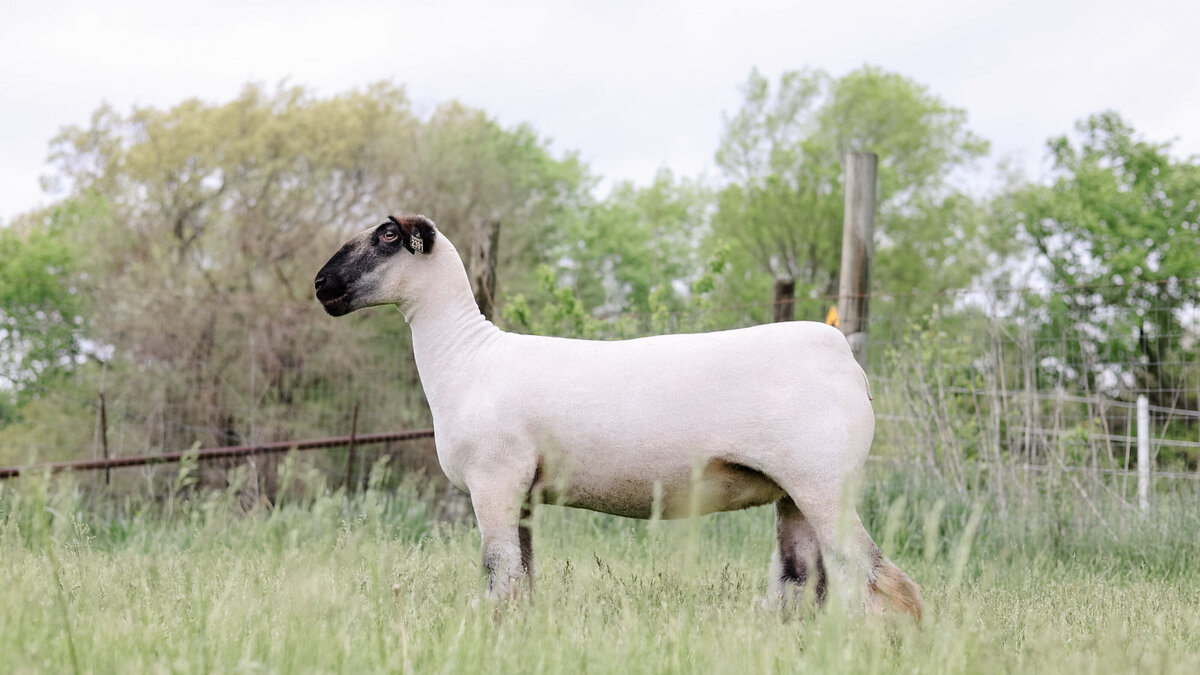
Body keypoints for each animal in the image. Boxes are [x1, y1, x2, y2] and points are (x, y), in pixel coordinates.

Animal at [314, 214, 923, 619]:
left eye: (386, 236)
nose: (320, 285)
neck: (465, 355)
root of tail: (847, 359)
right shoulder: (522, 492)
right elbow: (524, 582)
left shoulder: (494, 481)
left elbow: (499, 580)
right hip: (793, 493)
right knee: (801, 585)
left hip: (824, 483)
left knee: (885, 582)